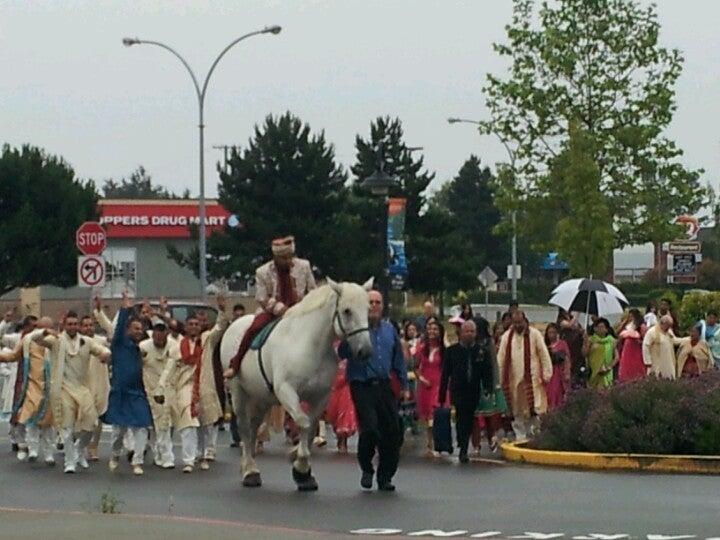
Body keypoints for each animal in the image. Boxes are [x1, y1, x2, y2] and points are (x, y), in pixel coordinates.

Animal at [221, 278, 374, 490]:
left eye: (368, 309)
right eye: (347, 311)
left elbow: (311, 427)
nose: (365, 350)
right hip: (238, 392)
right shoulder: (286, 391)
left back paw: (249, 465)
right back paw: (250, 471)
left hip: (261, 398)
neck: (310, 345)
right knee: (244, 427)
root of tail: (234, 324)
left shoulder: (320, 397)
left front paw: (303, 470)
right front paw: (300, 465)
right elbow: (303, 422)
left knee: (253, 427)